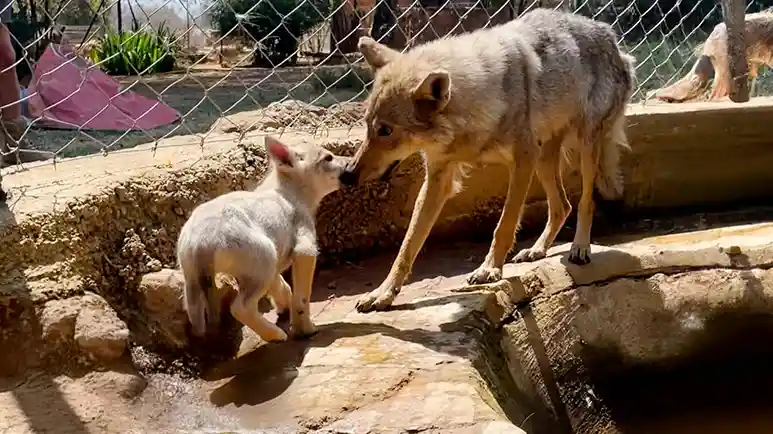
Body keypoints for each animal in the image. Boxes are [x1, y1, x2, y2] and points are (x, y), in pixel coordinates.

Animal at [177, 136, 349, 341]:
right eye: (328, 158)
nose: (351, 163)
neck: (289, 192)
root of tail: (201, 243)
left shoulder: (276, 264)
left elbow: (283, 287)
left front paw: (285, 307)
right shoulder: (305, 248)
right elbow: (301, 297)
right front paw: (305, 328)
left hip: (194, 279)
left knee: (195, 314)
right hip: (264, 258)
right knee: (240, 308)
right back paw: (275, 334)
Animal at [339, 8, 636, 312]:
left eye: (386, 131)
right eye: (367, 125)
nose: (348, 173)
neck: (477, 101)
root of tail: (611, 37)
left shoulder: (522, 162)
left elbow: (504, 225)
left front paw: (489, 269)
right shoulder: (438, 178)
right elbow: (408, 245)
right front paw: (383, 293)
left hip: (584, 149)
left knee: (586, 202)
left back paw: (580, 248)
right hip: (544, 160)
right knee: (562, 206)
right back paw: (536, 249)